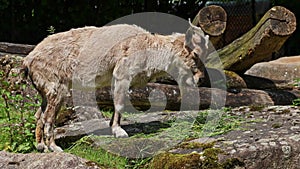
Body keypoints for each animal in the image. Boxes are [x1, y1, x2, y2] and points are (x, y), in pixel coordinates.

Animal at [22, 21, 209, 152]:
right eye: (195, 54)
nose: (200, 79)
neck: (148, 48)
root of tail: (28, 61)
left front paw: (113, 127)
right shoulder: (122, 74)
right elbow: (119, 103)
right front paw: (119, 131)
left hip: (47, 92)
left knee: (39, 115)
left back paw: (41, 146)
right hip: (57, 89)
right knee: (48, 118)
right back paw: (54, 147)